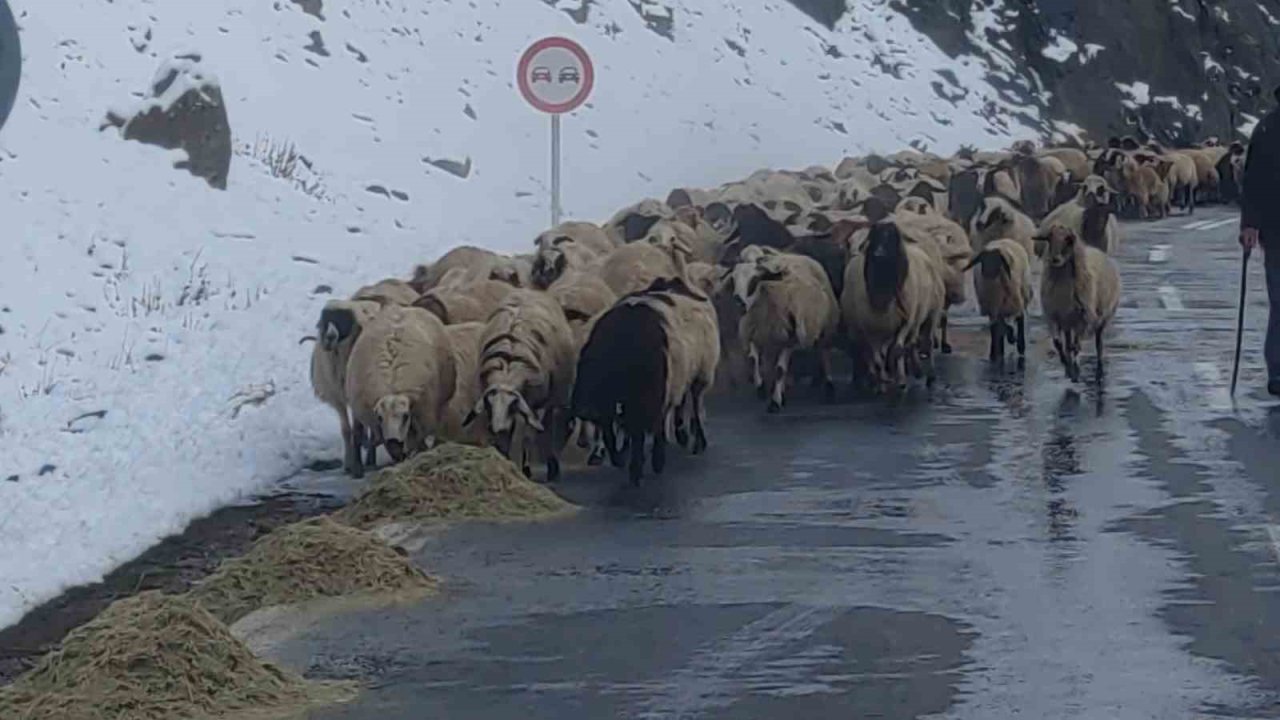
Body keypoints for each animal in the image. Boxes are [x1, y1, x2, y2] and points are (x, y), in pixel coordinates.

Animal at [311, 298, 384, 474]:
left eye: (343, 320)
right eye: (325, 320)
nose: (330, 337)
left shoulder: (356, 393)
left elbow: (357, 430)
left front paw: (357, 467)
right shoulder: (337, 399)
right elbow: (346, 430)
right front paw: (348, 464)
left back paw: (370, 460)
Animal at [343, 303, 458, 476]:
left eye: (405, 416)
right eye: (379, 417)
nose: (394, 442)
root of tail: (400, 308)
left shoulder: (420, 417)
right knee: (357, 432)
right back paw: (358, 467)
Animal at [465, 288, 576, 479]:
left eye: (512, 405)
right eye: (490, 403)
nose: (497, 428)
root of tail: (531, 290)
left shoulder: (533, 402)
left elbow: (528, 435)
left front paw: (526, 469)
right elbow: (506, 436)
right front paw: (504, 461)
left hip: (558, 395)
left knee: (551, 424)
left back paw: (552, 465)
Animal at [1039, 225, 1121, 384]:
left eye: (1068, 240)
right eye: (1049, 239)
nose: (1055, 259)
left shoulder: (1083, 318)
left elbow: (1076, 346)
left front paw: (1075, 368)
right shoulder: (1054, 316)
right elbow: (1058, 343)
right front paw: (1066, 363)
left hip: (1101, 319)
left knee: (1098, 344)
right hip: (1067, 322)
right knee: (1068, 342)